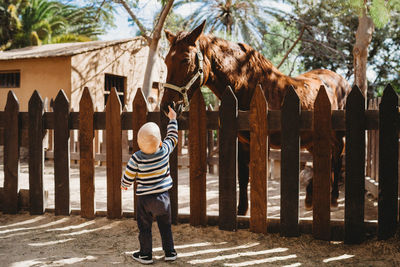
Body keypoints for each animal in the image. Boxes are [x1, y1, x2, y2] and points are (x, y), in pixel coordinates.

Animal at [160, 22, 350, 217]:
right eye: (166, 61)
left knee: (337, 155)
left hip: (336, 135)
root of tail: (342, 80)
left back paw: (334, 197)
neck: (248, 86)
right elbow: (243, 176)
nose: (167, 106)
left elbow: (258, 174)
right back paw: (312, 196)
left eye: (185, 59)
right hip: (311, 139)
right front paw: (241, 210)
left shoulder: (262, 141)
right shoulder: (243, 142)